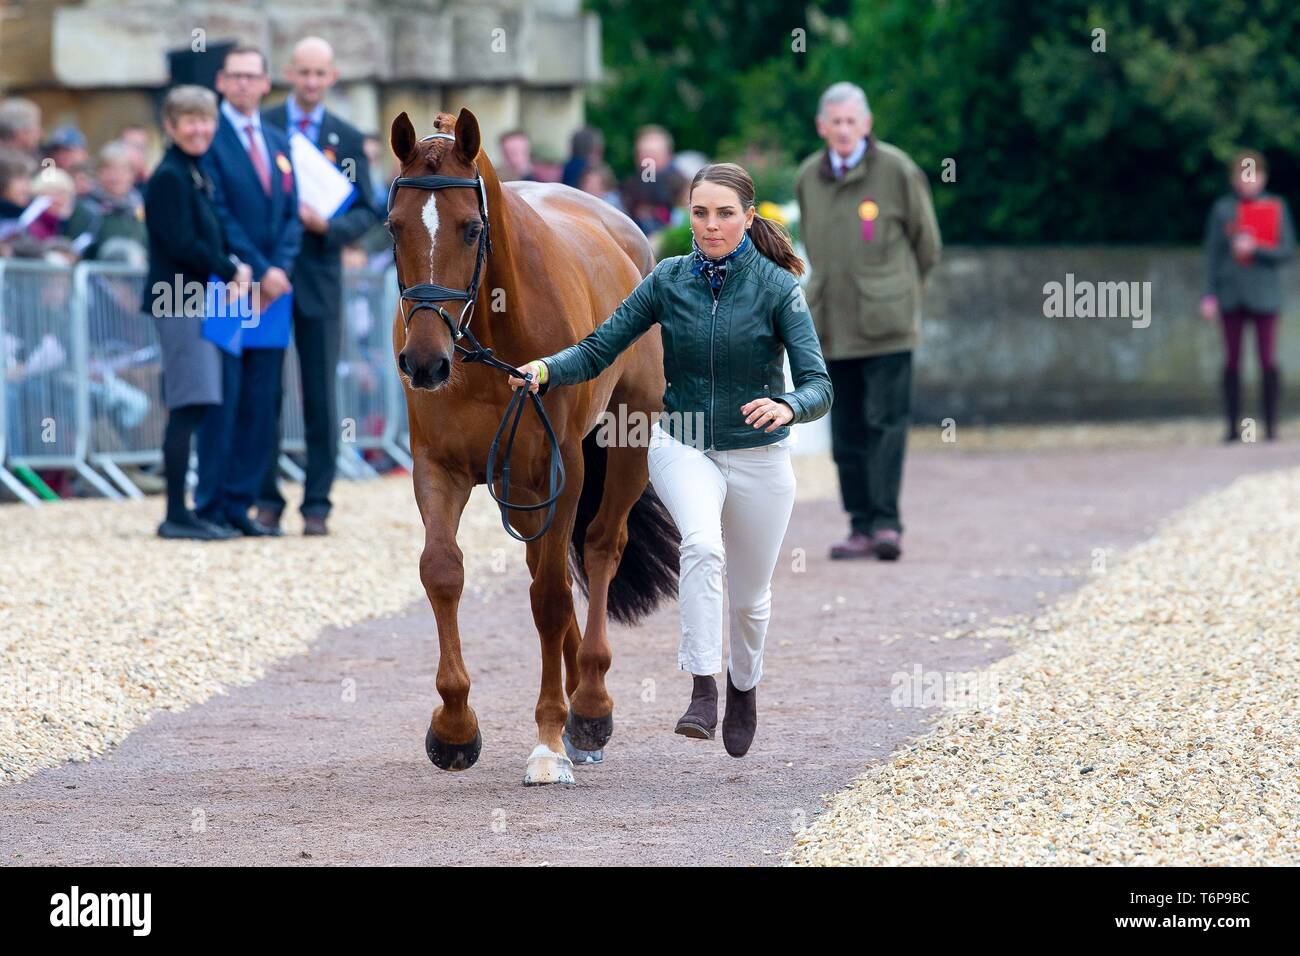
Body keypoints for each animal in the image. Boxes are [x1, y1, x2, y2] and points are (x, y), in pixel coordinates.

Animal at [387, 108, 681, 785]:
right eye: (393, 226)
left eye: (471, 229)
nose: (424, 362)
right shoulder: (437, 467)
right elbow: (443, 572)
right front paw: (454, 728)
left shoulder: (562, 466)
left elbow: (549, 598)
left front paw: (549, 738)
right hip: (520, 487)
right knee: (545, 564)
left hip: (625, 441)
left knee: (599, 550)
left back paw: (590, 706)